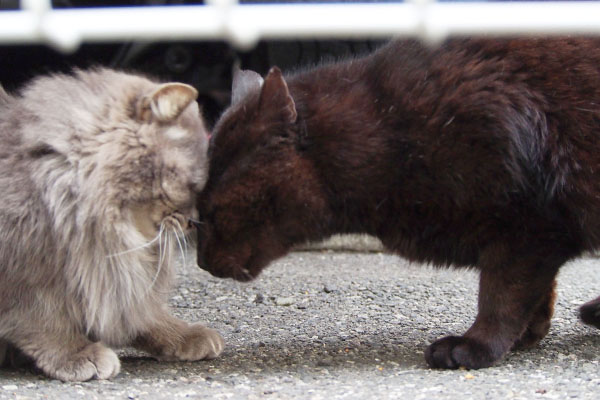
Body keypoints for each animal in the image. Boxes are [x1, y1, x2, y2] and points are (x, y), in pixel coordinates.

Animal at [0, 68, 223, 382]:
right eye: (192, 186)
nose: (194, 222)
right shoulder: (24, 270)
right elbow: (41, 319)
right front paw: (77, 353)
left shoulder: (109, 274)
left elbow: (139, 312)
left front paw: (182, 335)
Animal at [197, 37, 600, 368]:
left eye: (212, 211)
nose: (200, 262)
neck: (386, 131)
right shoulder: (533, 239)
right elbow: (536, 292)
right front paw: (528, 335)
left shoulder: (527, 228)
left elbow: (500, 296)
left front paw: (476, 347)